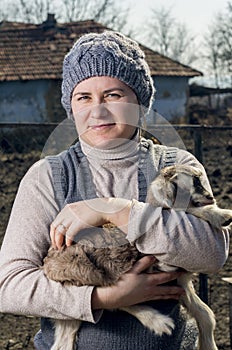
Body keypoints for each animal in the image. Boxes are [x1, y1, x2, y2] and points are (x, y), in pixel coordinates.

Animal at [42, 164, 231, 350]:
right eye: (194, 182)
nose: (211, 197)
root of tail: (48, 263)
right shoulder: (163, 264)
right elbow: (187, 210)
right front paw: (222, 215)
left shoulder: (180, 282)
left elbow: (205, 314)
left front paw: (208, 345)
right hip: (93, 271)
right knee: (117, 300)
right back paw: (158, 322)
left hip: (72, 309)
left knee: (63, 341)